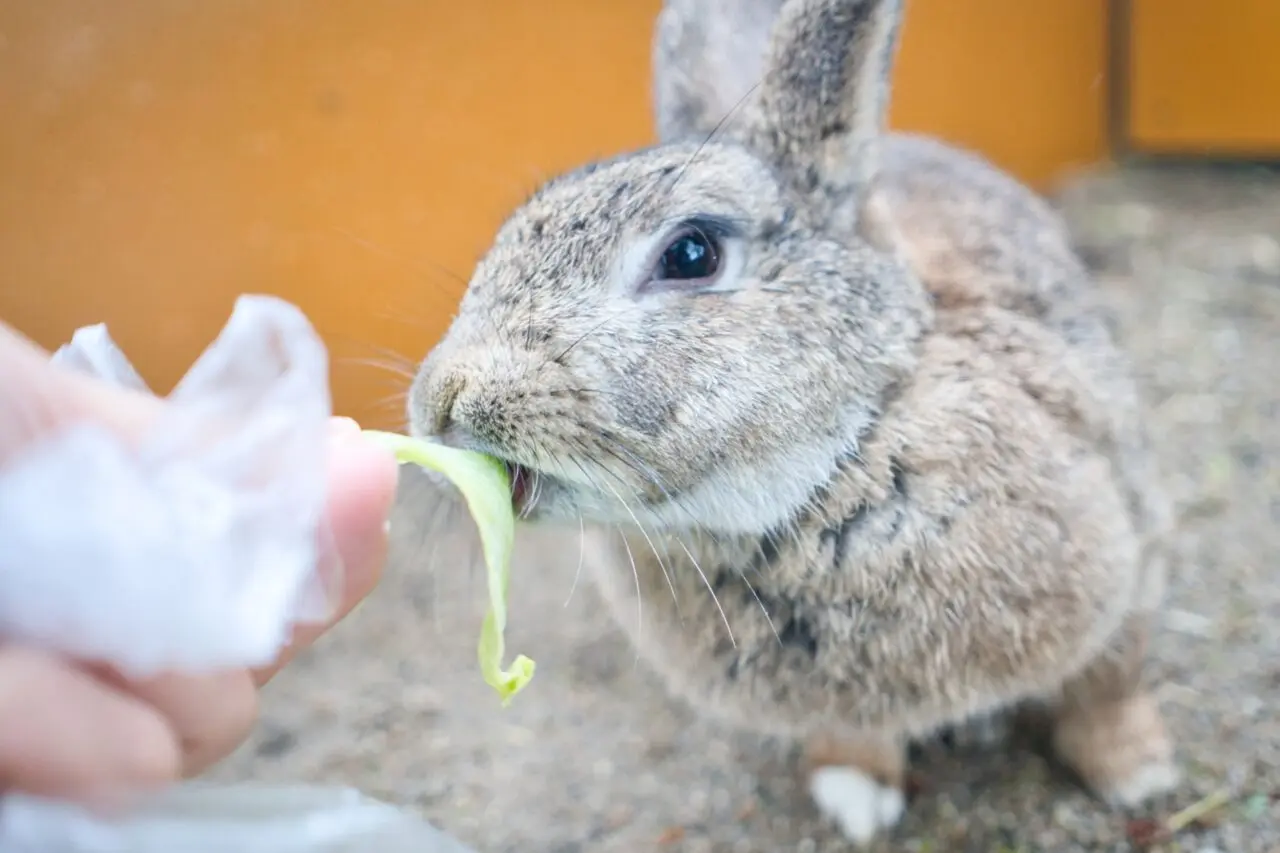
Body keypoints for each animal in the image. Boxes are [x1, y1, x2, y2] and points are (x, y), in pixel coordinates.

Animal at [409, 0, 1177, 835]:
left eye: (691, 253)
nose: (442, 401)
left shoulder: (1130, 563)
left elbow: (1105, 688)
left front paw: (1139, 775)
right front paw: (857, 799)